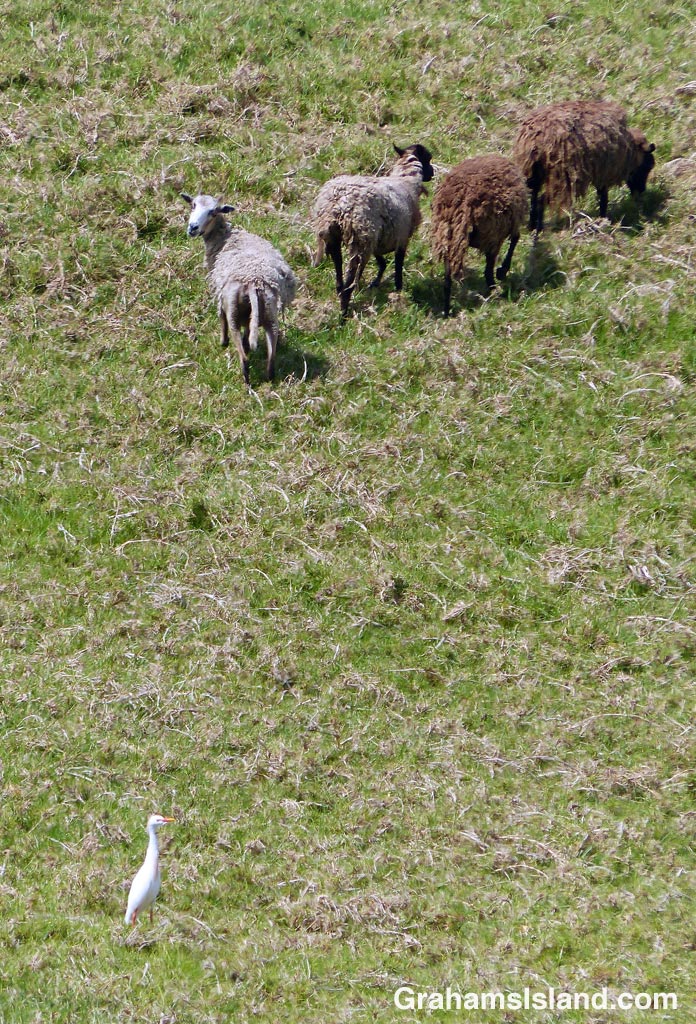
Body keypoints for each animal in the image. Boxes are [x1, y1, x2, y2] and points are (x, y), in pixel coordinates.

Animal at [182, 193, 296, 386]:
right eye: (193, 205)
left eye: (213, 212)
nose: (193, 227)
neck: (224, 238)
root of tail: (254, 281)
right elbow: (249, 329)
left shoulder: (220, 294)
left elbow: (221, 319)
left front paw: (222, 342)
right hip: (269, 309)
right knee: (272, 346)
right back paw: (269, 376)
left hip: (233, 308)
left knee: (242, 354)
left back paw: (246, 379)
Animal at [312, 143, 434, 316]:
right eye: (428, 157)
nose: (432, 173)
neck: (406, 181)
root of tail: (338, 203)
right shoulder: (401, 237)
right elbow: (397, 267)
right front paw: (398, 291)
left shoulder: (378, 239)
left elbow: (382, 262)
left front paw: (374, 283)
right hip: (360, 237)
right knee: (349, 281)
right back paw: (344, 314)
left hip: (335, 236)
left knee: (339, 276)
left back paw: (341, 294)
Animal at [431, 155, 529, 316]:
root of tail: (462, 204)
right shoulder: (511, 223)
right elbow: (515, 239)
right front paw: (502, 271)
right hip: (491, 233)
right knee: (488, 271)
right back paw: (496, 292)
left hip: (447, 237)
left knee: (447, 280)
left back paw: (446, 312)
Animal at [513, 100, 656, 232]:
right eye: (647, 166)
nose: (642, 190)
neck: (629, 150)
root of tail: (536, 139)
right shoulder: (603, 172)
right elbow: (603, 198)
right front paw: (603, 219)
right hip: (561, 177)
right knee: (542, 200)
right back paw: (539, 229)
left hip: (532, 173)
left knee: (533, 197)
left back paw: (531, 226)